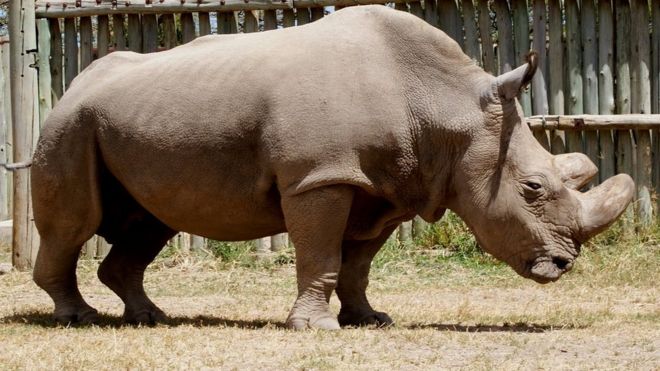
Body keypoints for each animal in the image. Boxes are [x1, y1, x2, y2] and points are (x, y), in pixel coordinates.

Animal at [31, 5, 636, 330]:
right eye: (532, 187)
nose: (561, 266)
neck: (448, 109)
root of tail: (74, 85)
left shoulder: (387, 188)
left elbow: (357, 263)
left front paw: (370, 319)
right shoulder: (319, 176)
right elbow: (321, 254)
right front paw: (316, 328)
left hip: (130, 118)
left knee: (150, 221)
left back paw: (150, 317)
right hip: (68, 126)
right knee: (77, 224)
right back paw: (79, 318)